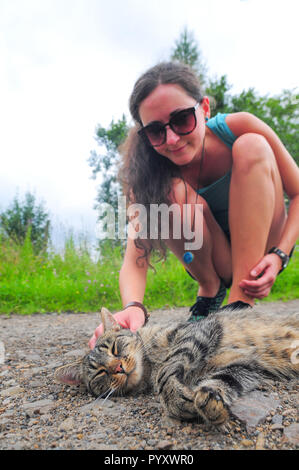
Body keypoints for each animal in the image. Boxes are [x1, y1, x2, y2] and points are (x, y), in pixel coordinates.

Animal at [54, 306, 299, 424]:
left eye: (114, 348)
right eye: (100, 373)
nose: (118, 368)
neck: (150, 365)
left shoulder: (197, 331)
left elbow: (169, 366)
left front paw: (172, 396)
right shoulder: (243, 364)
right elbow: (224, 382)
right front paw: (210, 403)